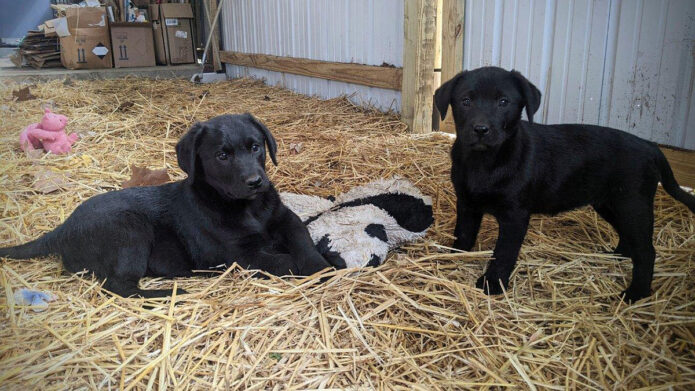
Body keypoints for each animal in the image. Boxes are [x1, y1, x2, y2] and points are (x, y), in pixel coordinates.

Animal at [0, 115, 332, 298]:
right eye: (222, 156)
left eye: (255, 147)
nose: (255, 181)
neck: (249, 208)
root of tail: (62, 227)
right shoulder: (239, 254)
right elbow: (284, 261)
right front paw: (312, 267)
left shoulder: (285, 219)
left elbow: (302, 242)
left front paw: (322, 264)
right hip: (129, 230)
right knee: (119, 286)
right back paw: (172, 293)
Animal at [436, 66, 695, 304]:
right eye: (466, 101)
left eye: (503, 102)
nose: (481, 129)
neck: (484, 162)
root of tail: (651, 146)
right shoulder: (467, 203)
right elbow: (463, 234)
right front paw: (452, 257)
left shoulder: (515, 216)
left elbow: (503, 253)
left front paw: (492, 283)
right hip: (610, 204)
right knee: (628, 238)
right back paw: (615, 257)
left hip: (632, 204)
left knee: (646, 252)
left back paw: (635, 294)